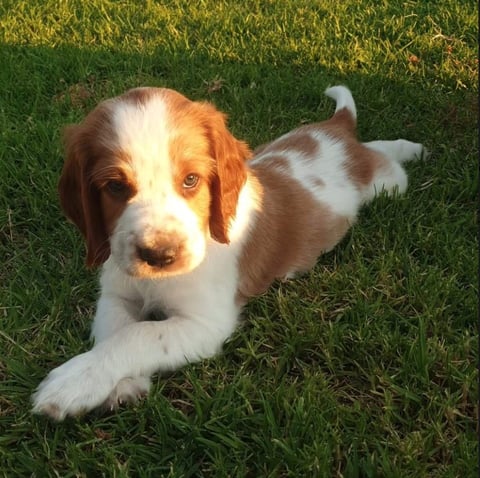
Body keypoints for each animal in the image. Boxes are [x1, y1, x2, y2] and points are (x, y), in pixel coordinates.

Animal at [31, 85, 424, 418]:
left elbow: (138, 335)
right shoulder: (116, 294)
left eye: (191, 180)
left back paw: (412, 147)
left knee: (386, 160)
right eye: (114, 186)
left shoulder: (205, 323)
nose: (160, 256)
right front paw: (122, 384)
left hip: (388, 184)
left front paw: (72, 383)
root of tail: (335, 131)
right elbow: (115, 330)